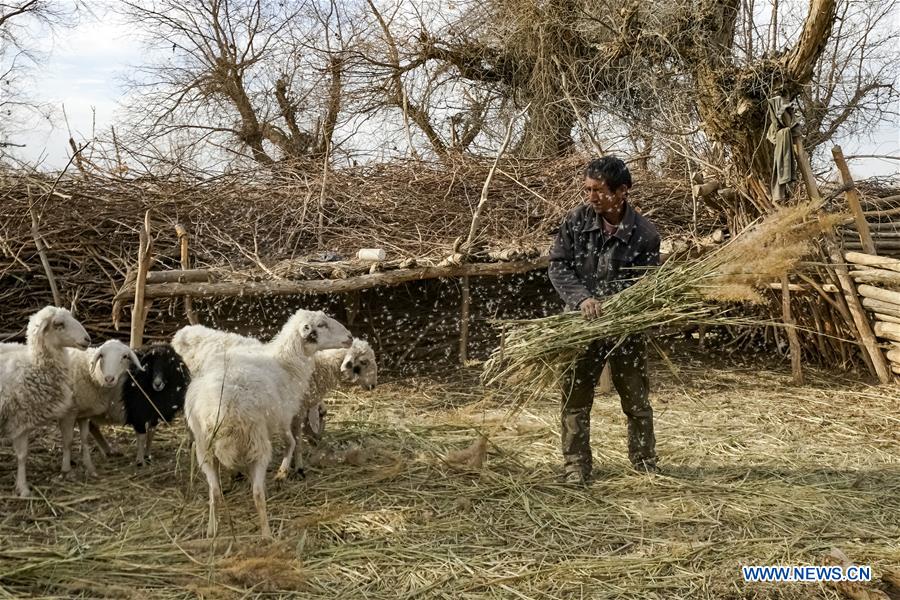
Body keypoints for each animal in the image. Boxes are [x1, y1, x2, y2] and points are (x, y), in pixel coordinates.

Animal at [0, 304, 91, 496]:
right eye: (58, 324)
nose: (87, 339)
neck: (35, 366)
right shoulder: (20, 419)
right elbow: (22, 456)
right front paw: (23, 488)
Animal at [60, 342, 142, 478]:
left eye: (125, 356)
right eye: (102, 355)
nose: (109, 379)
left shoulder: (82, 412)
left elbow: (84, 438)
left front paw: (89, 467)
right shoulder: (68, 413)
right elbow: (68, 441)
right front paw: (66, 470)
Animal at [185, 310, 352, 540]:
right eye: (321, 325)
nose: (350, 337)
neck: (286, 363)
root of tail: (220, 412)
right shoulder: (283, 416)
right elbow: (291, 442)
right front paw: (283, 472)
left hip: (205, 450)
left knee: (215, 492)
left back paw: (212, 531)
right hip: (258, 444)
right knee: (257, 493)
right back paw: (267, 535)